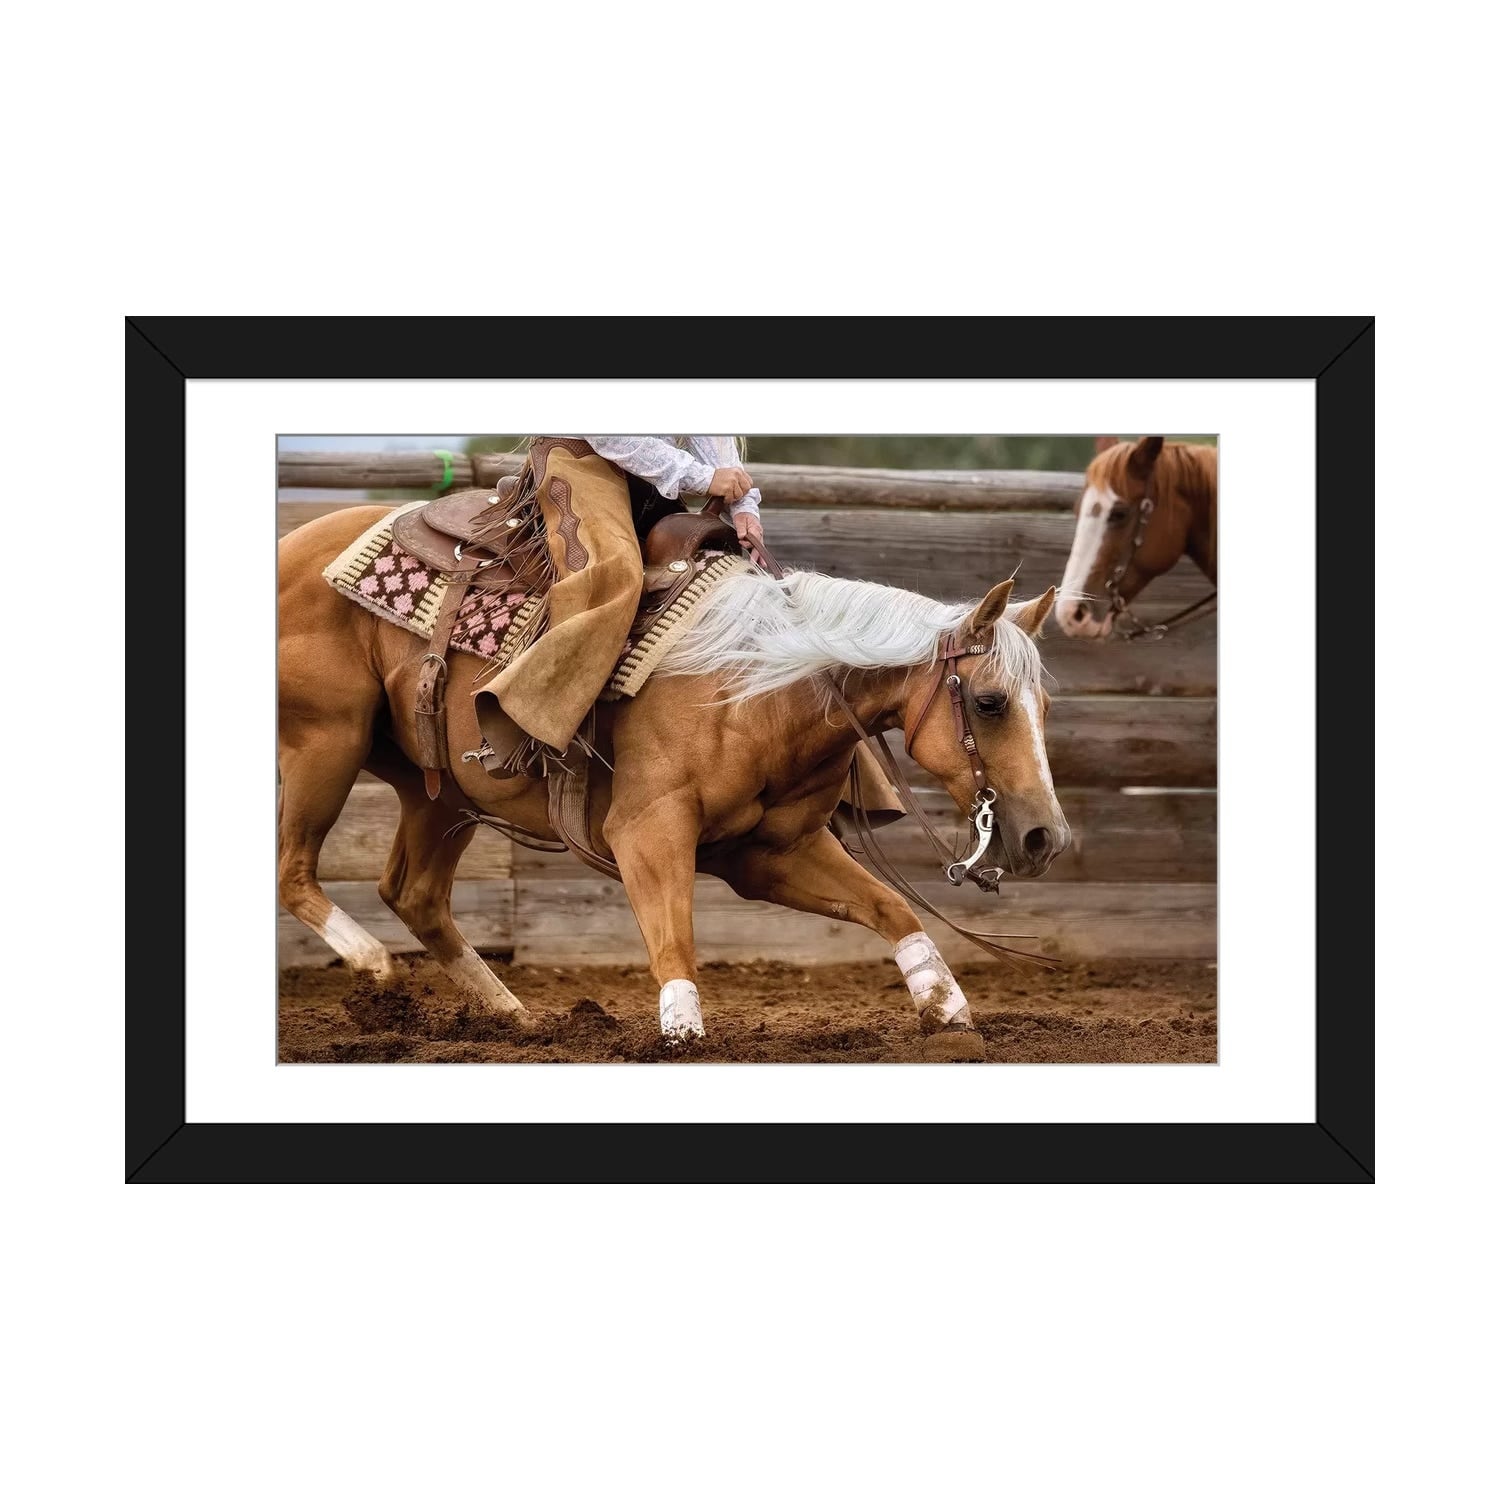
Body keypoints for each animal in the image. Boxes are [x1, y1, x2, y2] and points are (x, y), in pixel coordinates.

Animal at [278, 505, 1071, 1043]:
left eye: (1045, 704)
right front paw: (682, 1033)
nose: (1046, 839)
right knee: (295, 871)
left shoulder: (771, 852)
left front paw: (949, 1011)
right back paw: (374, 965)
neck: (756, 687)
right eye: (991, 702)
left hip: (437, 792)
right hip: (326, 740)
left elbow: (893, 909)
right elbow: (674, 940)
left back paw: (510, 1014)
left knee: (412, 892)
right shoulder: (648, 832)